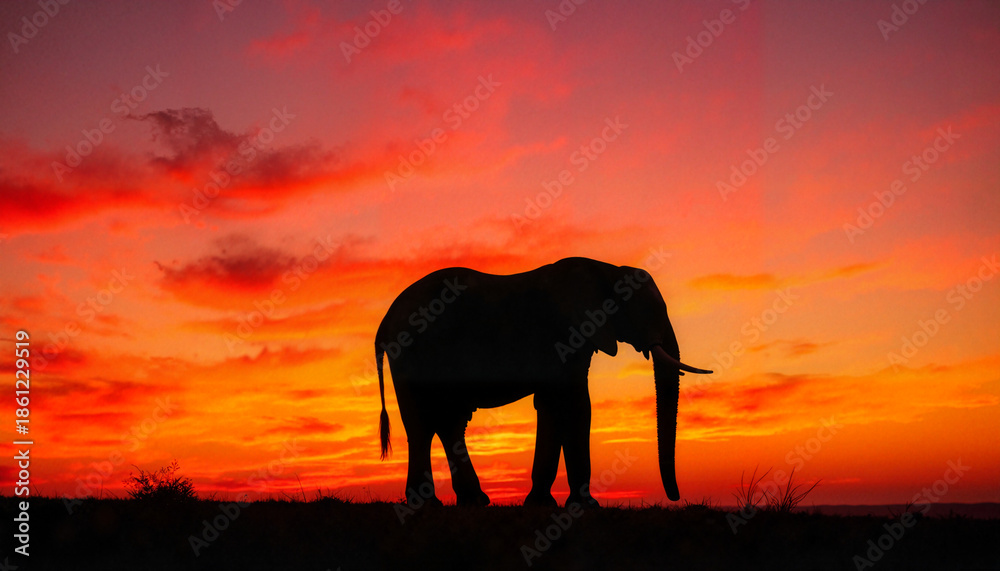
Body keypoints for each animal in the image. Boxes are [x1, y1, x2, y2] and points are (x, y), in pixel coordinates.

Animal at [375, 257, 711, 508]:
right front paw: (586, 506)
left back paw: (473, 501)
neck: (608, 270)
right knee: (422, 425)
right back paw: (429, 504)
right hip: (412, 354)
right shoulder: (563, 333)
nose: (675, 497)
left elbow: (553, 406)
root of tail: (384, 322)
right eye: (647, 311)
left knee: (449, 423)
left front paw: (541, 504)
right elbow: (576, 404)